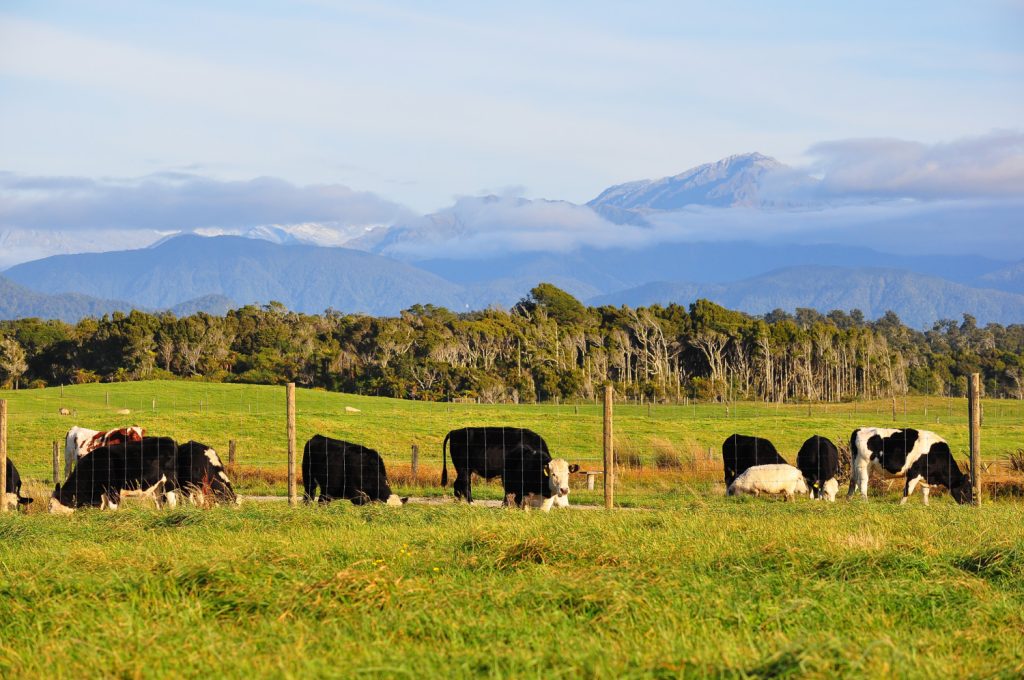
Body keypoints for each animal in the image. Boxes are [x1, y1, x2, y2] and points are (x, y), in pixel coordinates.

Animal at [49, 438, 178, 512]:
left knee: (172, 501)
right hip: (157, 485)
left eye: (50, 506)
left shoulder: (112, 489)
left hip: (169, 482)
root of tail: (169, 440)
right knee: (159, 501)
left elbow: (113, 507)